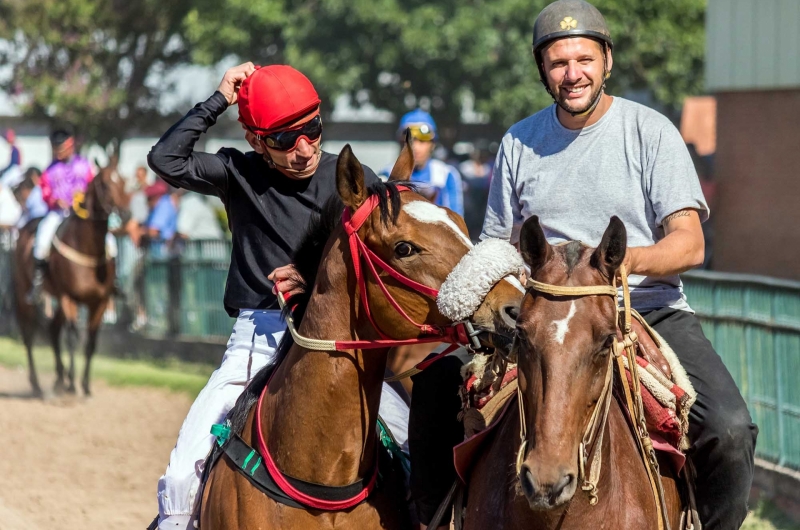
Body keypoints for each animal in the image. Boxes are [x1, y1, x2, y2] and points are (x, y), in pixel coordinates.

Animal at [13, 157, 129, 396]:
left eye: (123, 181)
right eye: (105, 184)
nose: (126, 214)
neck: (88, 252)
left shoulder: (99, 302)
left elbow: (90, 341)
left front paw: (83, 384)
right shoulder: (69, 298)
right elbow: (73, 337)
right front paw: (72, 383)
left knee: (53, 329)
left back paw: (59, 378)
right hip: (24, 293)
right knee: (28, 334)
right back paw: (37, 383)